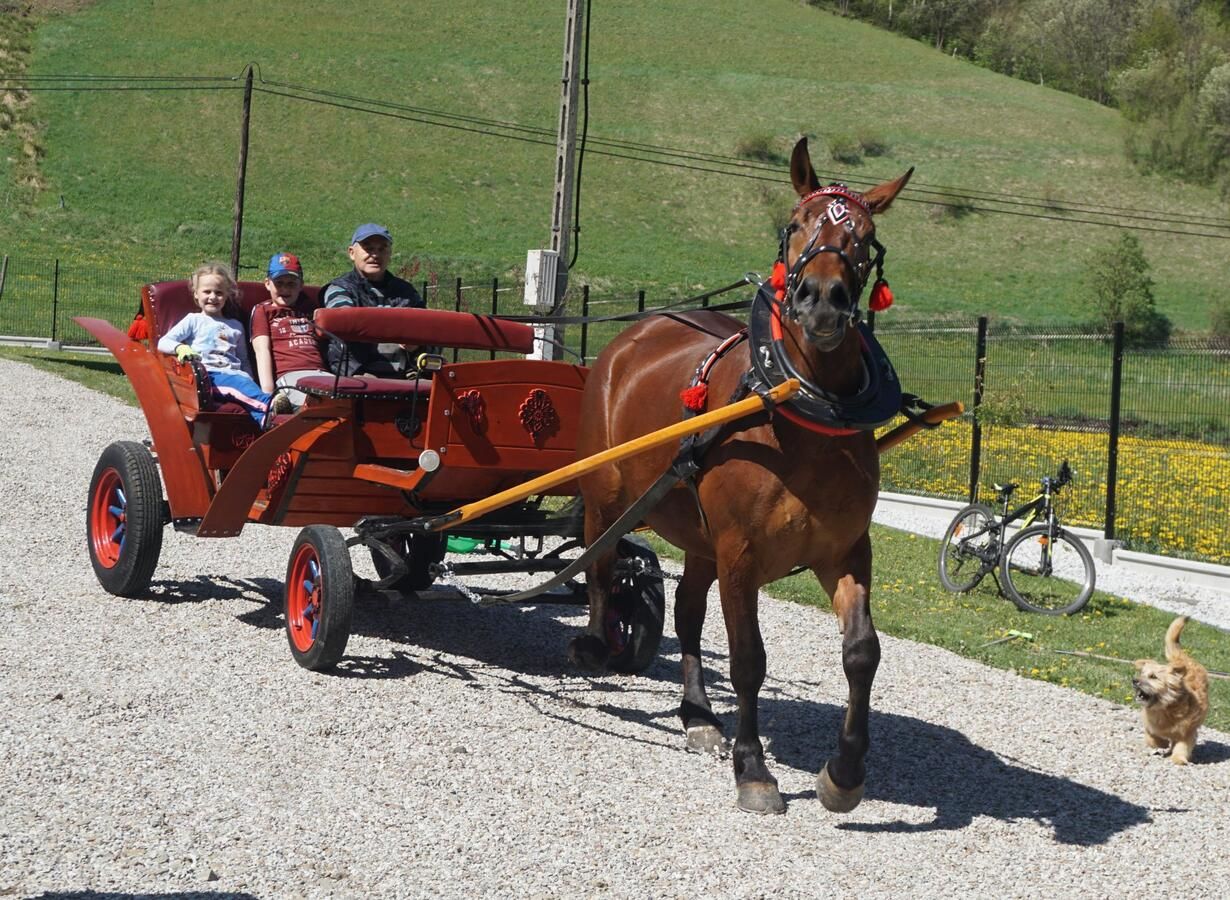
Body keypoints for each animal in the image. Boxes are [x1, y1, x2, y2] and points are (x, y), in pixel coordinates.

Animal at [570, 138, 910, 816]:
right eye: (798, 223)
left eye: (865, 237)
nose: (822, 299)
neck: (799, 408)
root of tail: (638, 332)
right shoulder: (740, 554)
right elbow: (749, 658)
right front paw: (754, 768)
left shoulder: (843, 550)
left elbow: (862, 652)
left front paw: (845, 772)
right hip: (610, 494)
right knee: (599, 561)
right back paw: (596, 639)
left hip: (699, 533)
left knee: (686, 612)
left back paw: (698, 713)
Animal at [1131, 612, 1210, 767]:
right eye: (1142, 674)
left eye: (1153, 676)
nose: (1135, 680)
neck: (1164, 708)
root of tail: (1181, 661)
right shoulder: (1149, 724)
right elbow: (1152, 738)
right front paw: (1161, 743)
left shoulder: (1188, 731)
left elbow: (1183, 746)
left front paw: (1179, 758)